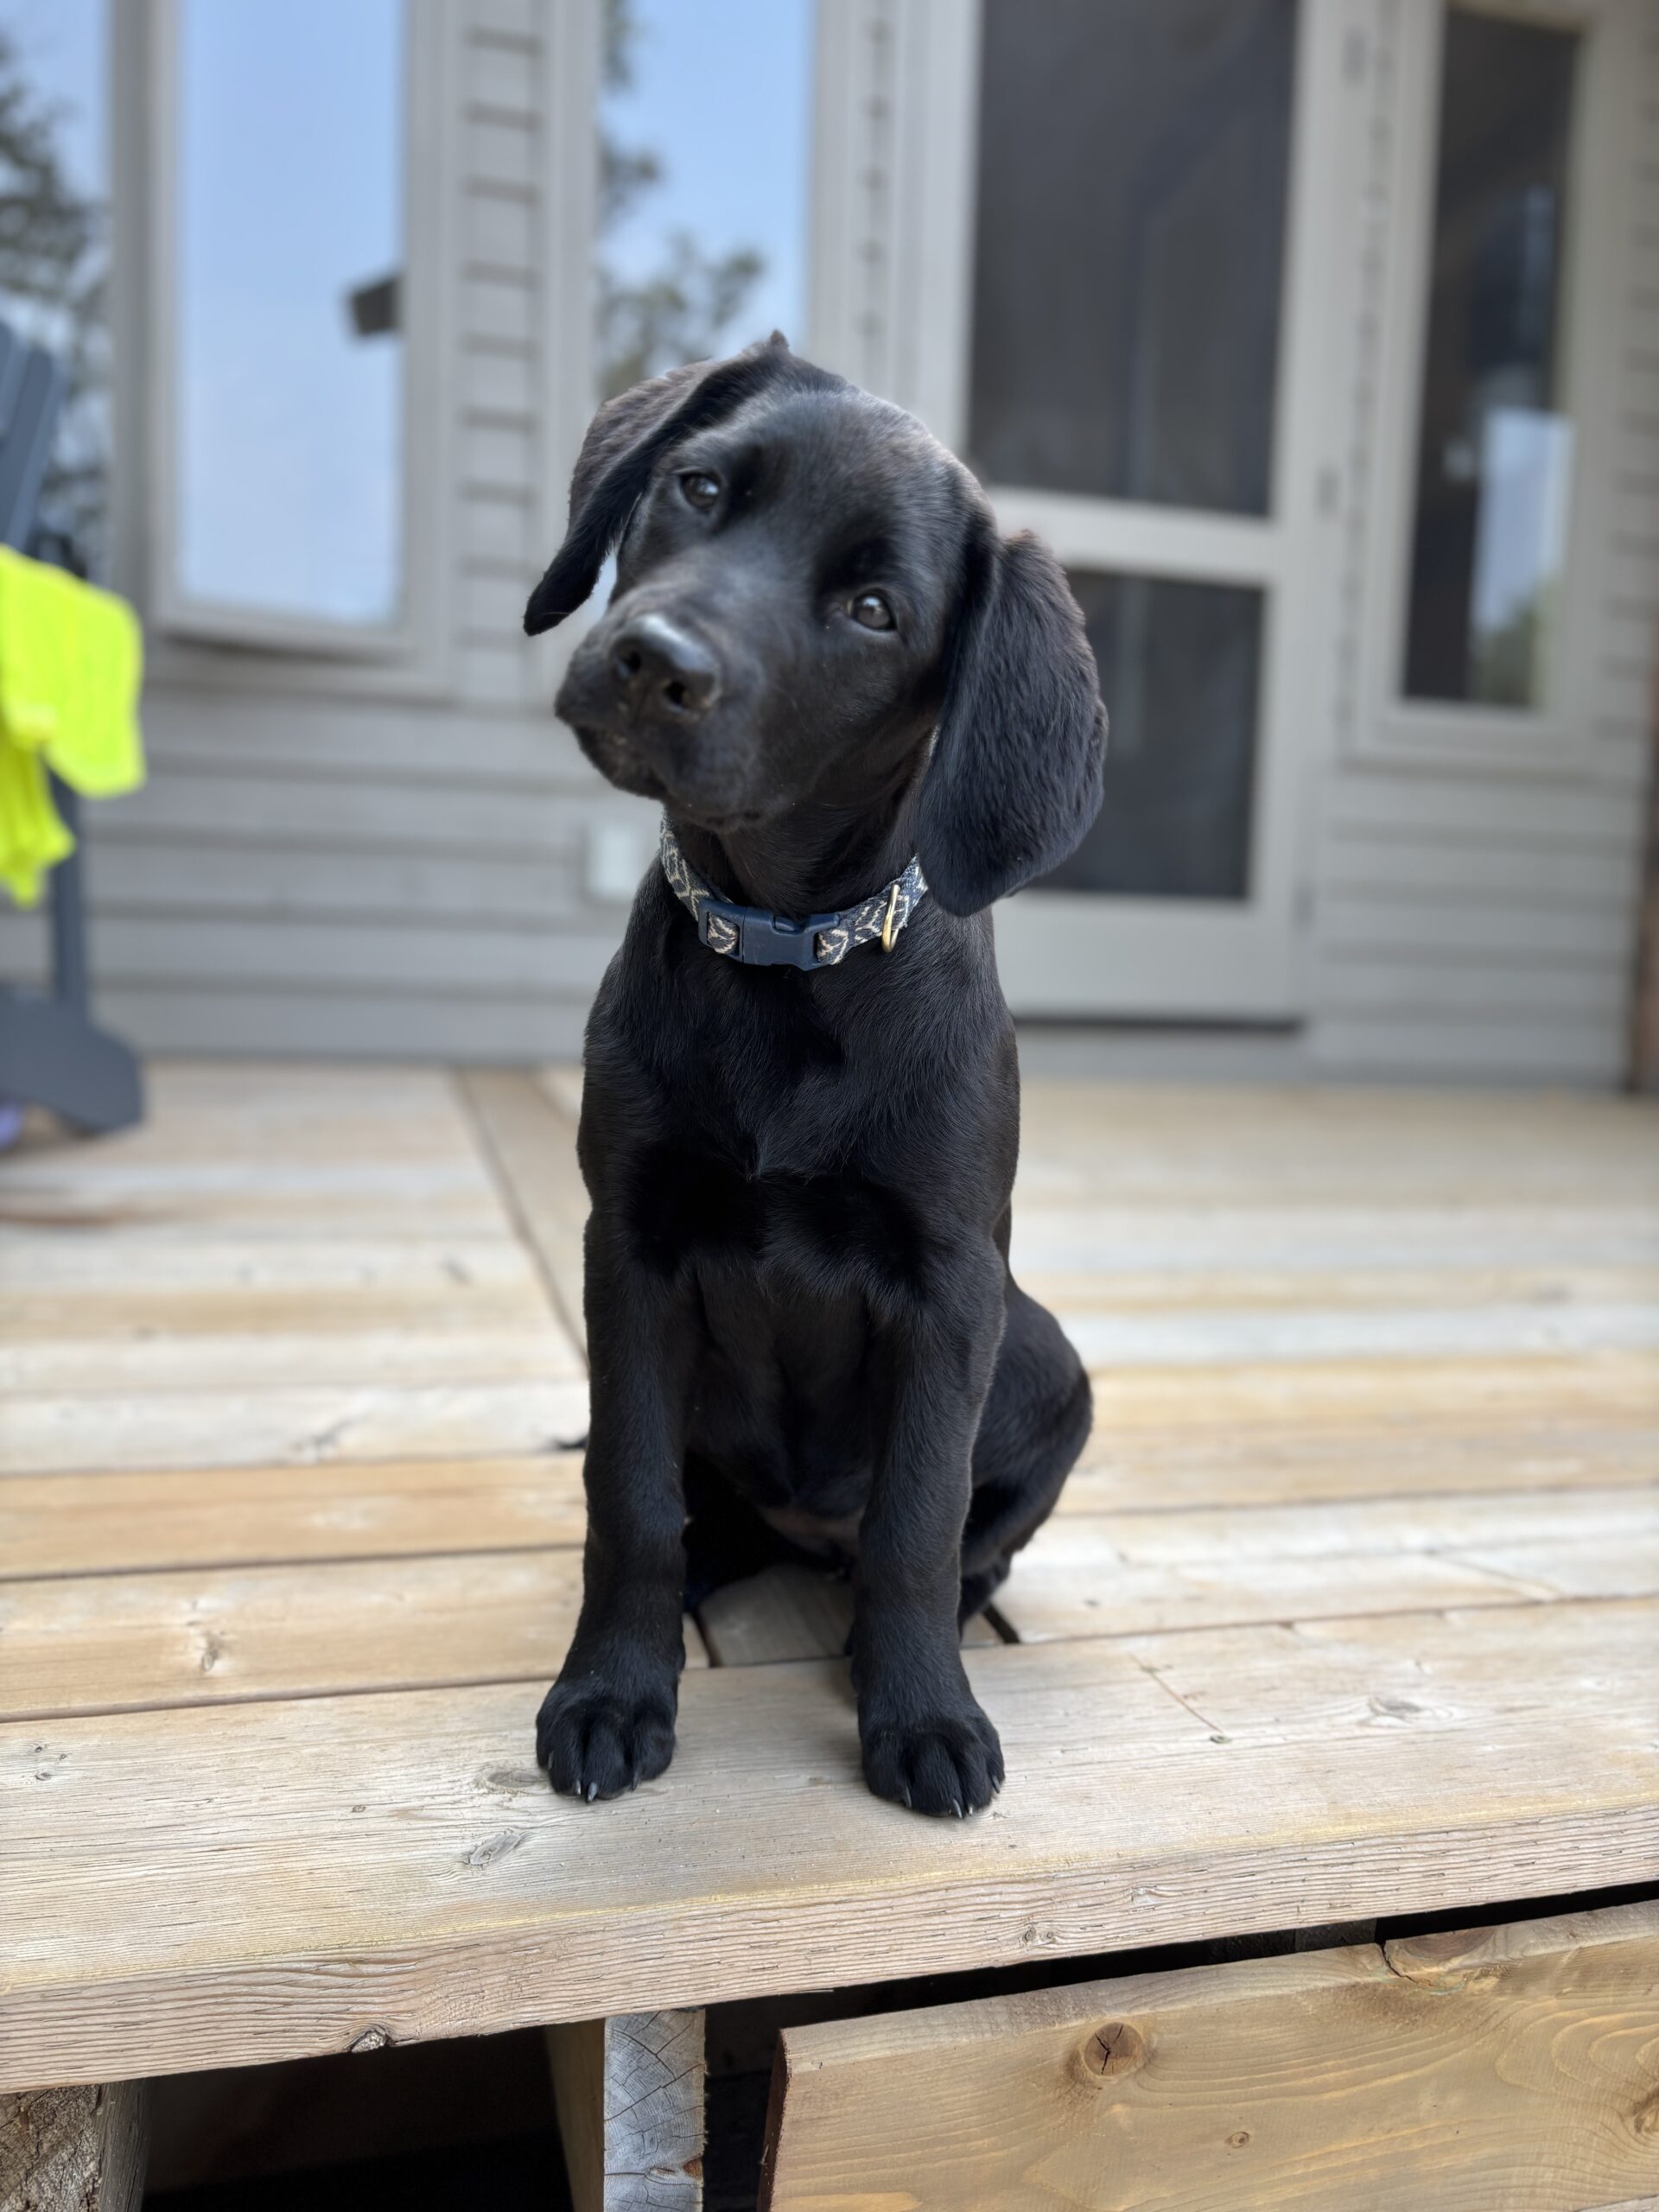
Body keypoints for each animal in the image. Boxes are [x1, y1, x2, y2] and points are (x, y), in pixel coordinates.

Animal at [524, 335, 1106, 1817]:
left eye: (873, 609)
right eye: (699, 487)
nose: (651, 662)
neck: (786, 955)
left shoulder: (952, 1284)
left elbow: (916, 1521)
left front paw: (922, 1714)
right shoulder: (630, 1247)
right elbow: (629, 1499)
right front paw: (612, 1689)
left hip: (1044, 1355)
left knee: (950, 1542)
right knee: (697, 1510)